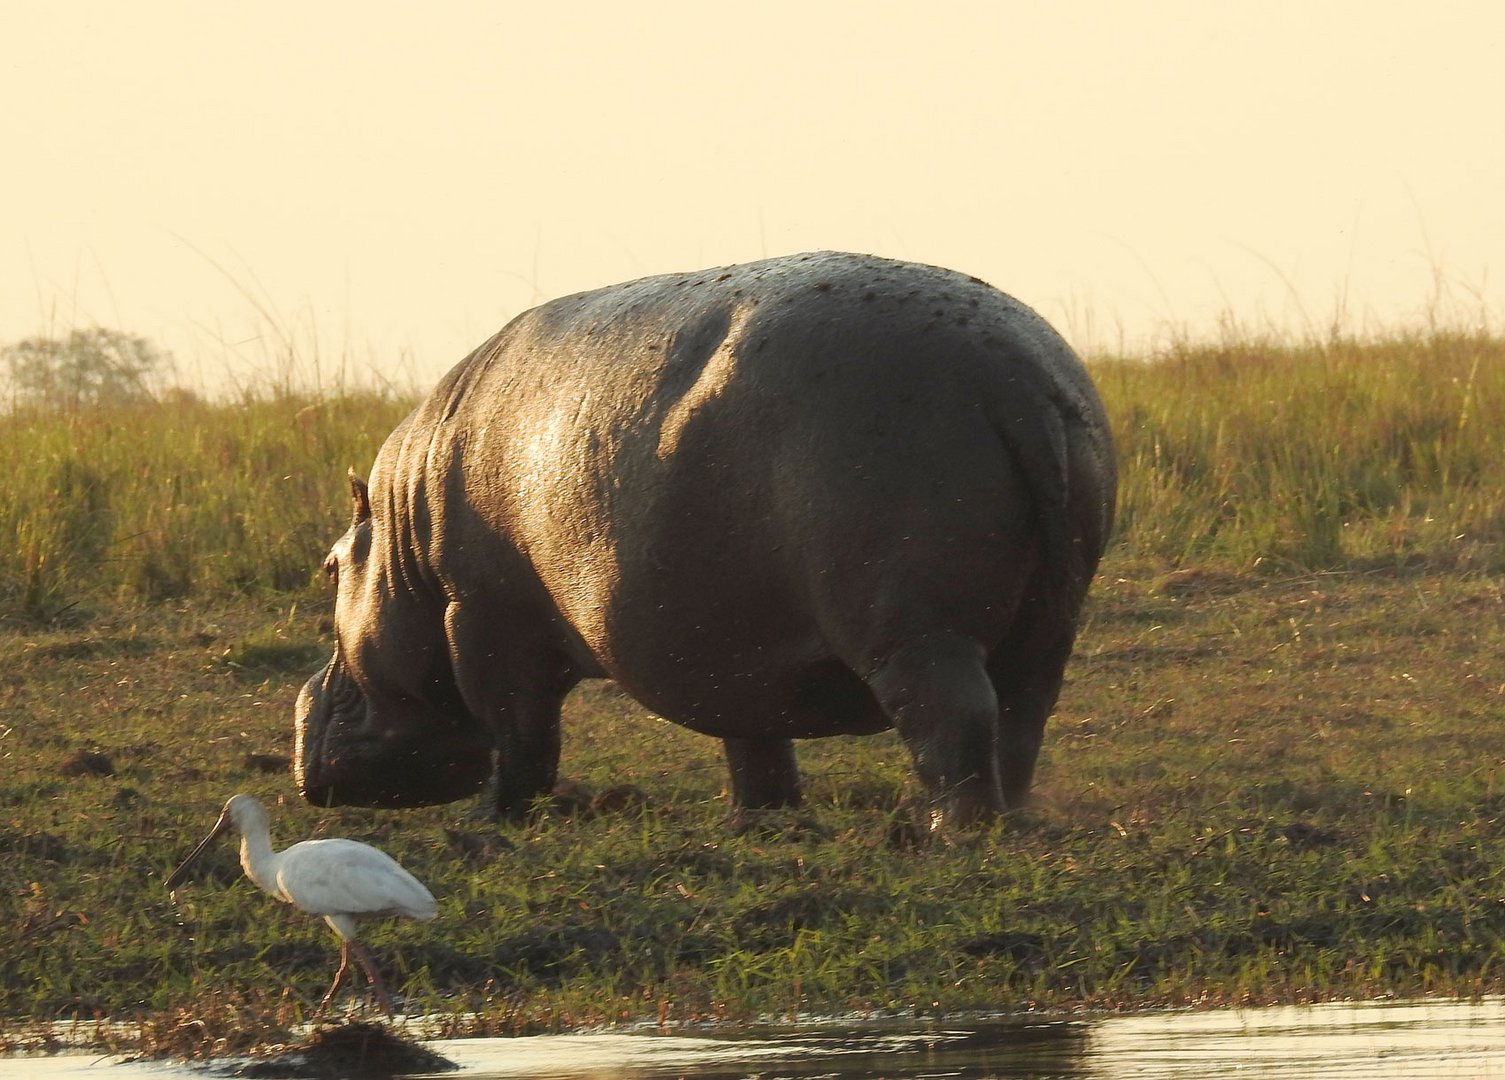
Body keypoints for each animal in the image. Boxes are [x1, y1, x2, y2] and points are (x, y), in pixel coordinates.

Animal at [296, 254, 1119, 830]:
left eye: (329, 568)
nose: (306, 705)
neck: (400, 535)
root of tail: (1019, 382)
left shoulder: (484, 616)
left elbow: (520, 733)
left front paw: (494, 820)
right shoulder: (733, 652)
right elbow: (752, 738)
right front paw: (761, 821)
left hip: (916, 633)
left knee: (954, 719)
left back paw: (951, 831)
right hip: (1046, 627)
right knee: (1020, 719)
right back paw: (1013, 816)